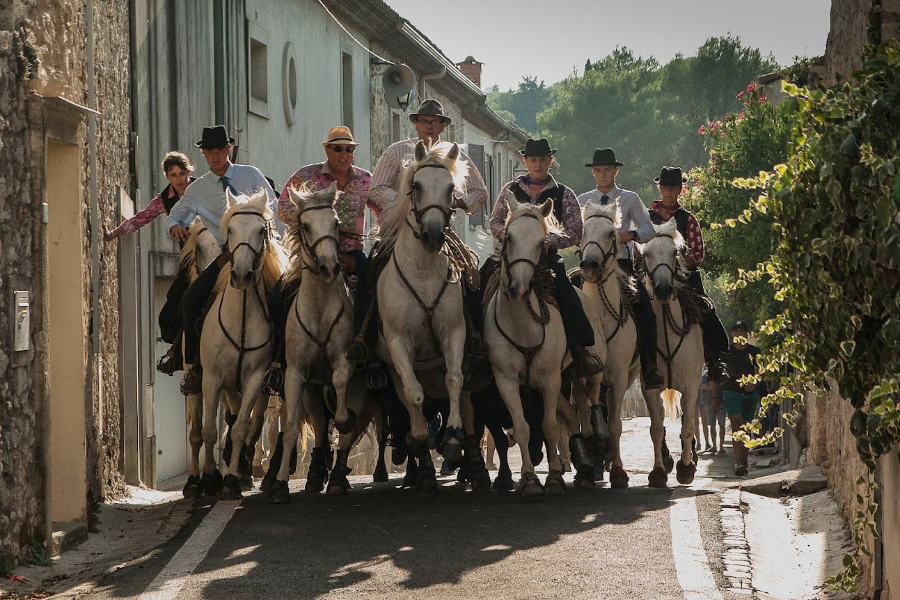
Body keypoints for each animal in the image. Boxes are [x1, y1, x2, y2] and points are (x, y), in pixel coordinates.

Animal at [199, 191, 286, 496]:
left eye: (261, 230)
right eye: (231, 230)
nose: (241, 275)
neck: (241, 321)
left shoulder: (255, 380)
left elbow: (241, 429)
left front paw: (233, 479)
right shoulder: (212, 378)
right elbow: (209, 431)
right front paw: (209, 478)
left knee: (251, 422)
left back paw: (246, 469)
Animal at [374, 141, 474, 496]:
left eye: (451, 188)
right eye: (416, 186)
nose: (432, 235)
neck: (424, 275)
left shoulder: (454, 334)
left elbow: (455, 380)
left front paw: (454, 437)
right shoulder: (398, 343)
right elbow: (413, 394)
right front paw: (418, 442)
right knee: (408, 398)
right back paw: (422, 471)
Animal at [486, 195, 568, 500]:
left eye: (541, 242)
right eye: (509, 237)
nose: (519, 289)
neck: (523, 324)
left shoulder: (552, 379)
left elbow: (550, 426)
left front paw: (555, 477)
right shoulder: (505, 380)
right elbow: (521, 427)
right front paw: (529, 479)